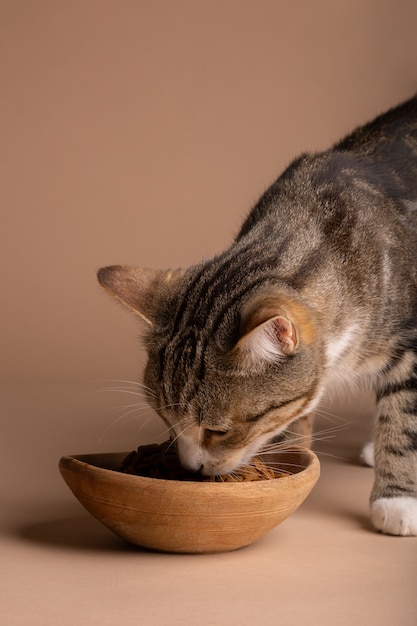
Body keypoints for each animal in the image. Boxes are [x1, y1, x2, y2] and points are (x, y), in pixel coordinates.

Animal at [98, 95, 416, 532]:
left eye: (217, 430)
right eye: (165, 420)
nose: (190, 469)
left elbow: (405, 417)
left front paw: (397, 500)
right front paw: (288, 460)